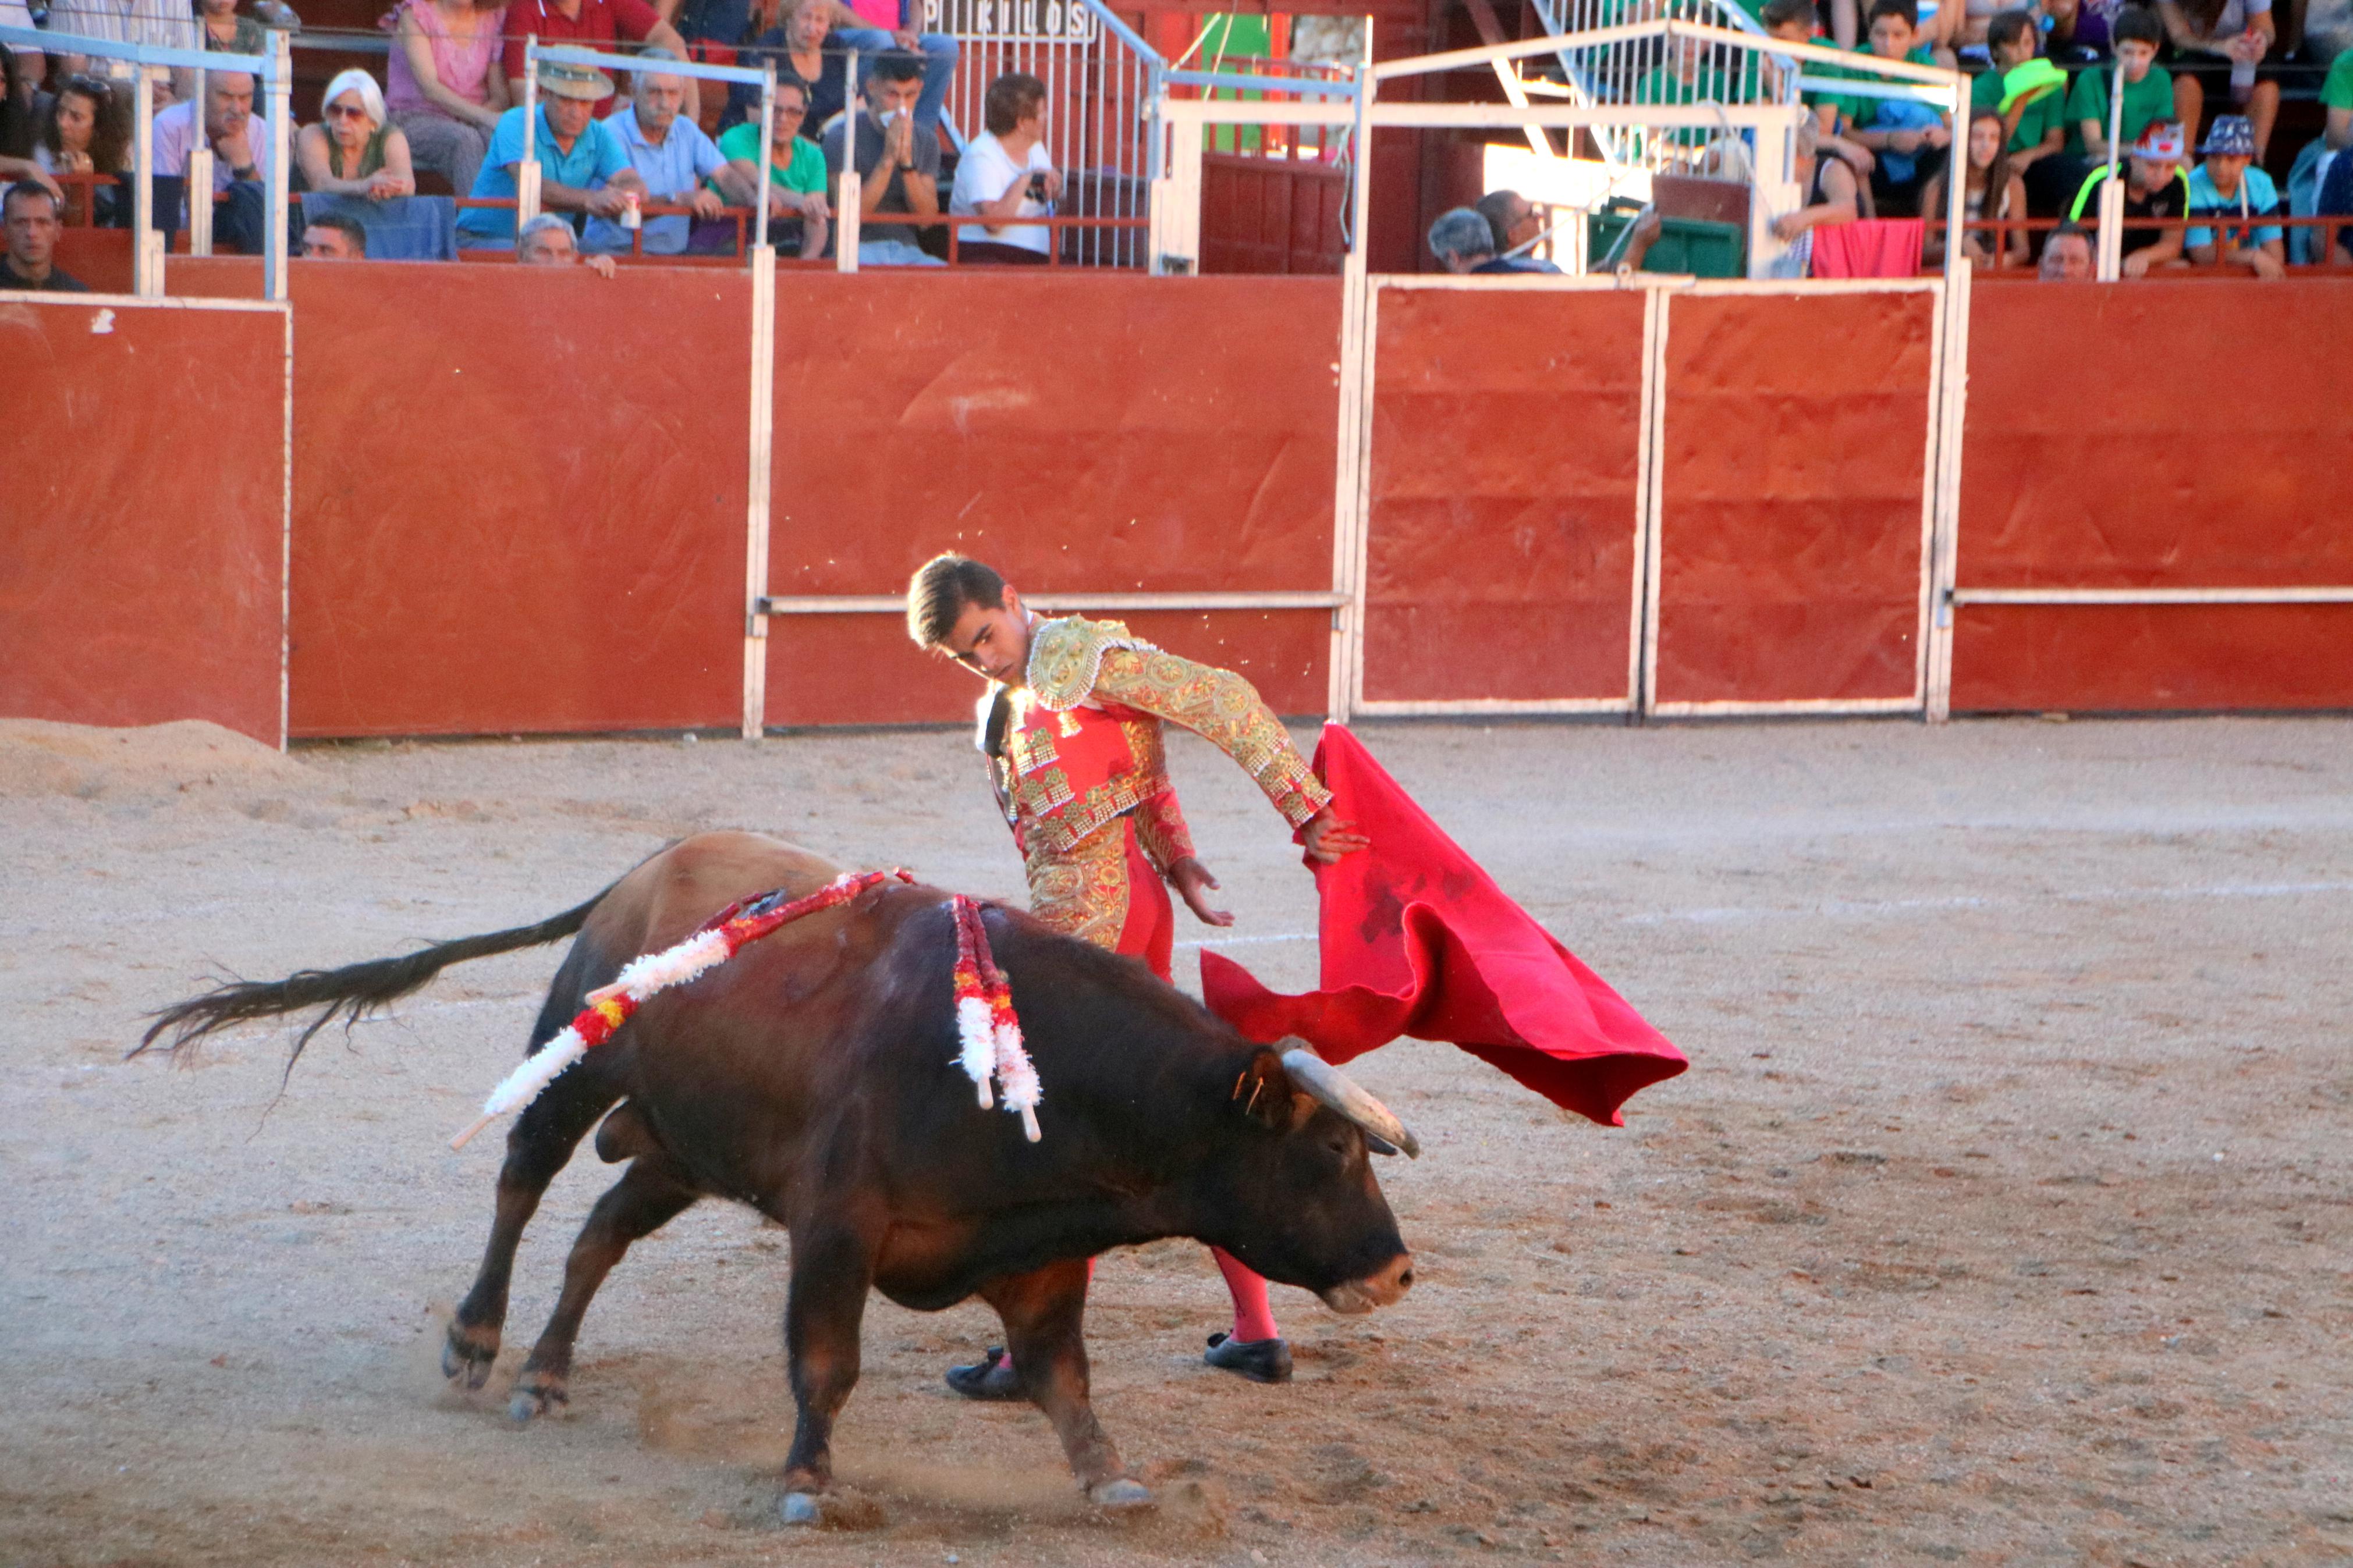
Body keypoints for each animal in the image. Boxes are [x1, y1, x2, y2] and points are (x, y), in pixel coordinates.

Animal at [151, 832, 1431, 1523]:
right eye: (1327, 1151)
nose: (1398, 1270)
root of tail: (643, 870)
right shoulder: (836, 1230)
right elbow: (828, 1361)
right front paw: (808, 1483)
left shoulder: (1037, 1255)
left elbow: (1063, 1380)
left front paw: (1110, 1483)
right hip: (573, 1057)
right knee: (522, 1184)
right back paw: (476, 1343)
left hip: (679, 1147)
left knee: (599, 1233)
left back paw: (547, 1378)